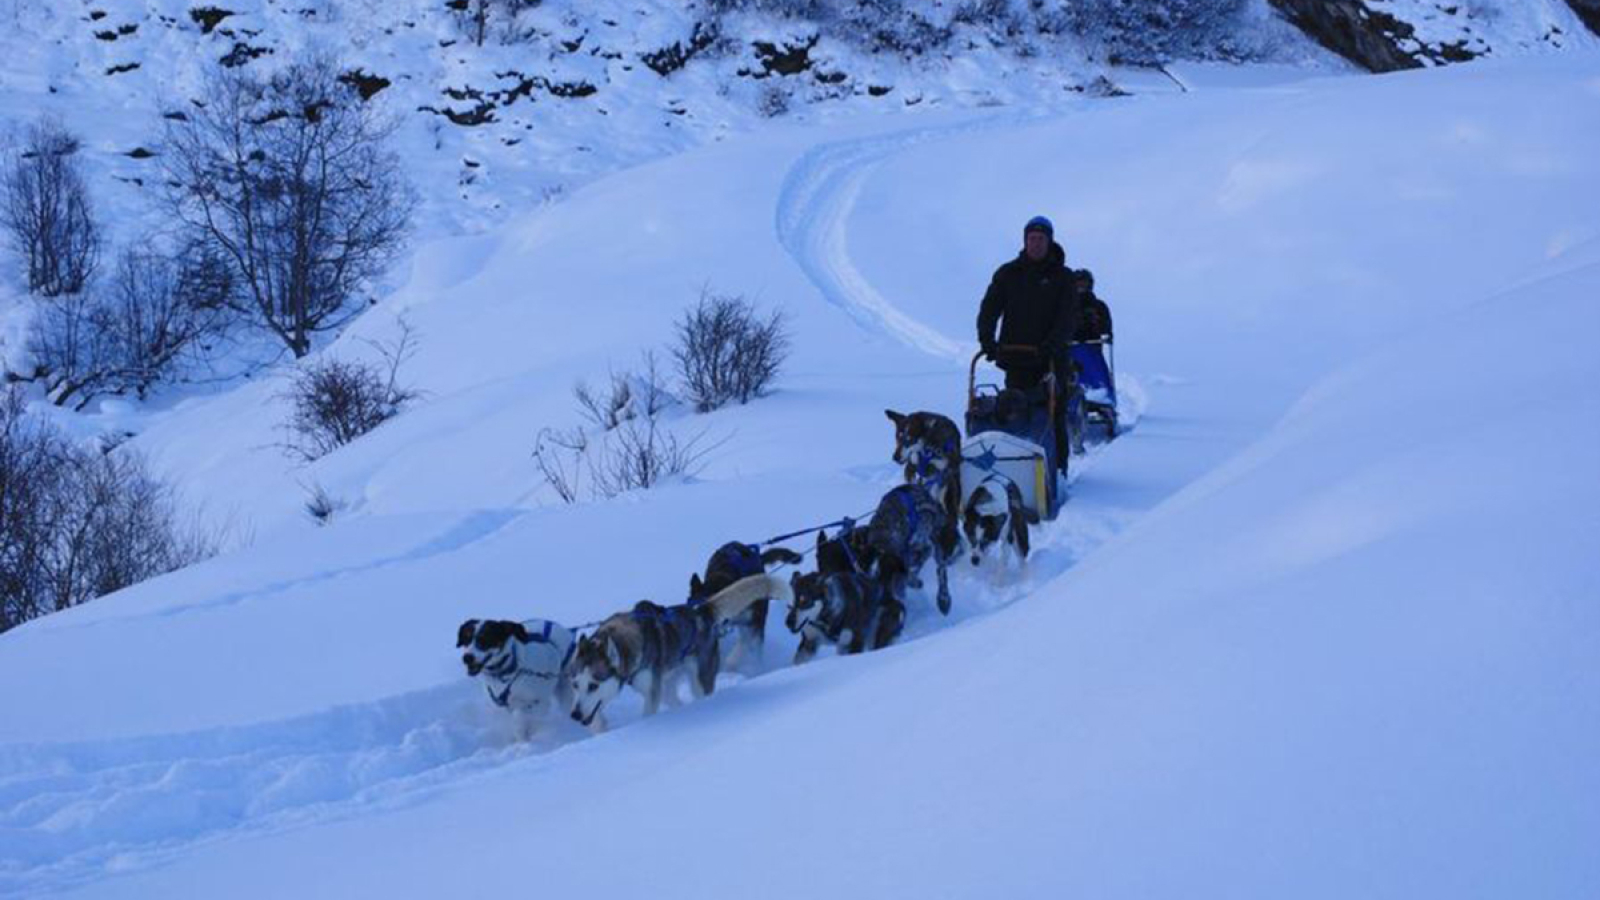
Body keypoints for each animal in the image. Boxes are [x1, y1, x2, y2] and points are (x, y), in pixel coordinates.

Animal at [569, 573, 793, 730]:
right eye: (575, 685)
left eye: (593, 685)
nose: (575, 715)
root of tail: (701, 610)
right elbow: (596, 718)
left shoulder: (652, 693)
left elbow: (647, 714)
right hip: (670, 681)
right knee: (675, 700)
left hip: (699, 681)